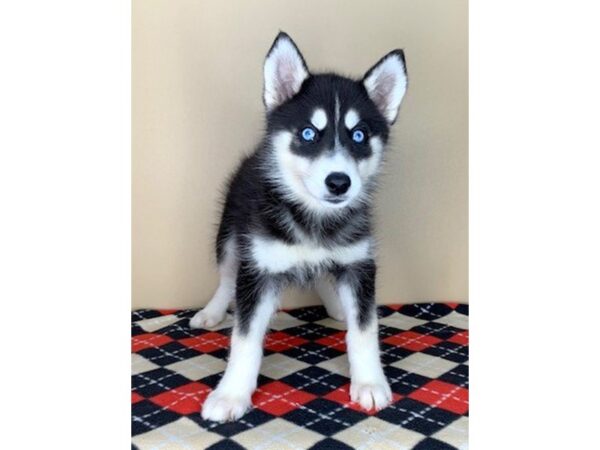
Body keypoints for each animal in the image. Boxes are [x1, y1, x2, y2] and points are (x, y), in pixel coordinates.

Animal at [191, 32, 408, 422]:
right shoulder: (259, 269)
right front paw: (231, 395)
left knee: (322, 274)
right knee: (228, 277)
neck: (314, 217)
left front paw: (370, 382)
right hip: (230, 236)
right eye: (308, 133)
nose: (339, 182)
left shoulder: (359, 264)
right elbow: (245, 337)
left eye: (359, 136)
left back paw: (337, 306)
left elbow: (365, 328)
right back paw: (212, 311)